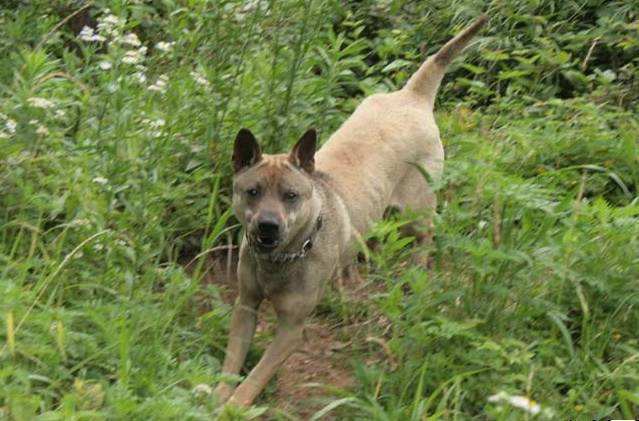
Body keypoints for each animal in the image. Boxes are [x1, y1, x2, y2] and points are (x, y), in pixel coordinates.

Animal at [212, 14, 488, 406]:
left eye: (291, 196)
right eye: (253, 192)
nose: (267, 226)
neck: (282, 259)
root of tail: (412, 96)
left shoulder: (291, 330)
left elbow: (255, 376)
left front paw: (234, 406)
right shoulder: (245, 306)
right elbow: (232, 361)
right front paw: (217, 394)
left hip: (416, 211)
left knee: (425, 238)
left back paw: (416, 273)